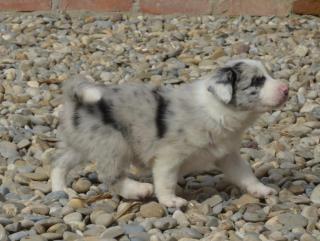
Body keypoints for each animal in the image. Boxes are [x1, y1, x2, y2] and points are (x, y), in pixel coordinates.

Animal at [51, 58, 288, 207]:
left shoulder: (228, 154)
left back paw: (59, 189)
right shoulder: (169, 157)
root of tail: (76, 99)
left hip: (83, 145)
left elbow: (245, 174)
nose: (286, 89)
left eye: (268, 75)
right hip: (114, 144)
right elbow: (166, 181)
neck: (217, 108)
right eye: (257, 81)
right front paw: (170, 201)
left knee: (60, 164)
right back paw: (139, 190)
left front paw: (261, 190)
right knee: (111, 176)